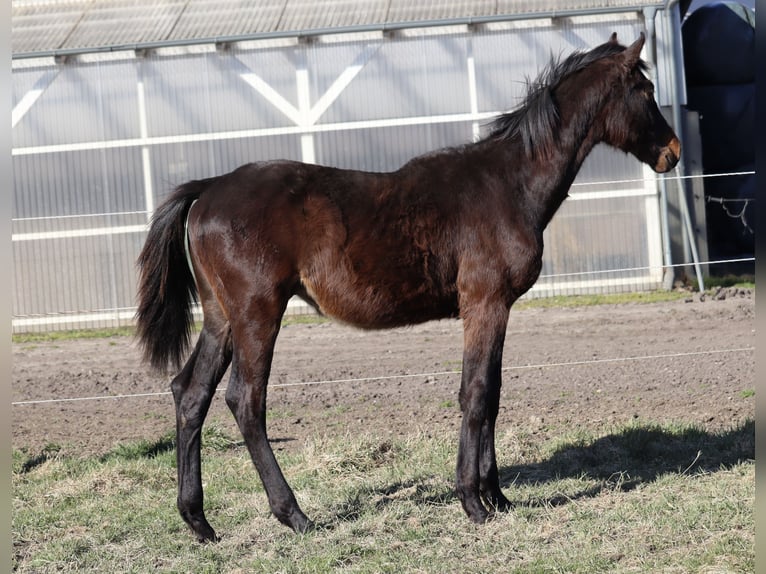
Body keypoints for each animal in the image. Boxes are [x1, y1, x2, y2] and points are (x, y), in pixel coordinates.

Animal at [136, 32, 680, 543]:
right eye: (646, 90)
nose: (672, 152)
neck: (508, 184)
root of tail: (208, 188)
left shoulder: (496, 308)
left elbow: (492, 392)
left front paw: (499, 497)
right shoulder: (485, 303)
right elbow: (476, 392)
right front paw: (473, 502)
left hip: (221, 317)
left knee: (190, 393)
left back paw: (199, 522)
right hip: (257, 313)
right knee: (246, 401)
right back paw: (295, 515)